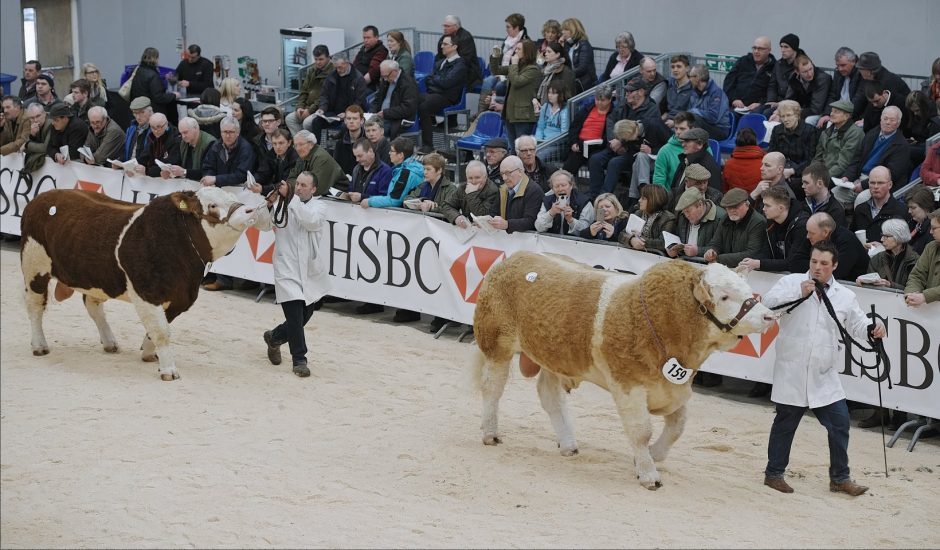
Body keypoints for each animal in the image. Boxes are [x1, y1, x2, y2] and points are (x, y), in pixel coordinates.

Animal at [19, 188, 268, 382]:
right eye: (212, 205)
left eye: (232, 196)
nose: (249, 210)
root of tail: (42, 197)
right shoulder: (147, 293)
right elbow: (161, 331)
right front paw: (169, 370)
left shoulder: (180, 297)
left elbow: (159, 328)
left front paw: (150, 353)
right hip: (34, 265)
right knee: (35, 306)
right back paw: (39, 345)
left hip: (96, 275)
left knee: (93, 306)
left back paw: (110, 342)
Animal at [474, 252, 776, 490]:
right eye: (724, 296)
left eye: (748, 291)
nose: (769, 316)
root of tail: (514, 258)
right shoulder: (629, 386)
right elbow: (641, 431)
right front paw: (649, 474)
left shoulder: (674, 386)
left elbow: (677, 427)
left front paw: (652, 455)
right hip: (497, 346)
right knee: (492, 389)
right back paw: (490, 434)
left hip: (553, 356)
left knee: (550, 397)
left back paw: (568, 444)